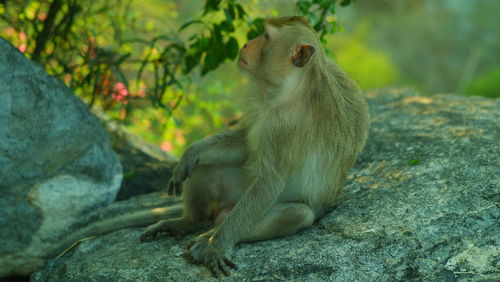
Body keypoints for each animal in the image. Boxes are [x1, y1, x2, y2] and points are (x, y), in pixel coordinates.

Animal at [139, 16, 370, 276]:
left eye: (266, 36)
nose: (246, 43)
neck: (289, 90)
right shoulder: (256, 100)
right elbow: (244, 145)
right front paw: (191, 153)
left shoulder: (287, 126)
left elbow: (269, 183)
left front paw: (216, 247)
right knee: (204, 168)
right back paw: (187, 222)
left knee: (296, 213)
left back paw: (209, 236)